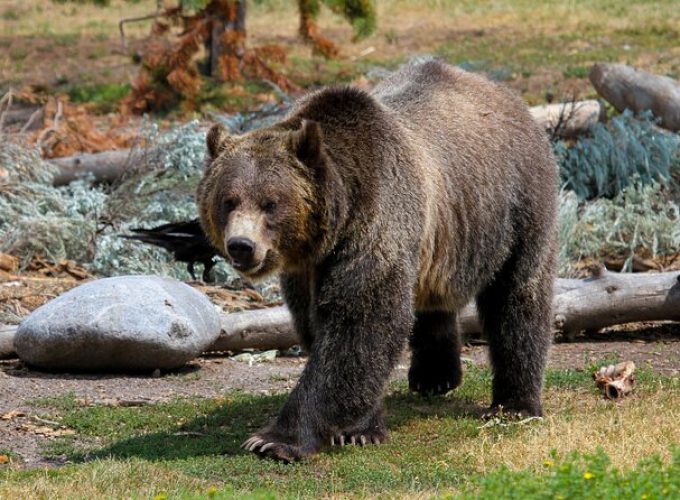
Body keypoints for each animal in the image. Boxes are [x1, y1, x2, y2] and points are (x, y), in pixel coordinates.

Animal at [197, 59, 556, 464]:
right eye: (228, 200)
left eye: (270, 202)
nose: (241, 246)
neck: (335, 222)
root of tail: (512, 99)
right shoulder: (306, 268)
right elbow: (322, 328)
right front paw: (360, 428)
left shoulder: (377, 219)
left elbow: (360, 323)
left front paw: (275, 439)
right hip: (443, 236)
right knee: (431, 299)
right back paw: (435, 375)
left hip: (514, 205)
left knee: (518, 297)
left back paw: (515, 405)